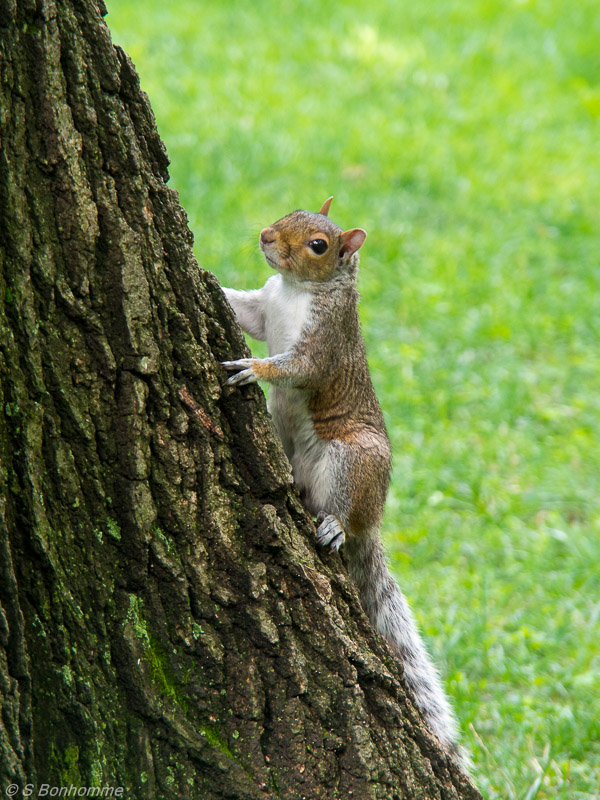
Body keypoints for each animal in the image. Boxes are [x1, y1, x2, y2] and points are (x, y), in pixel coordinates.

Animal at [223, 198, 462, 764]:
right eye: (291, 210)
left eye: (319, 246)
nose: (265, 236)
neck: (296, 290)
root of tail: (372, 517)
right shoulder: (263, 307)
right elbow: (243, 310)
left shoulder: (323, 343)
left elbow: (296, 366)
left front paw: (256, 368)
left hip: (353, 460)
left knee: (345, 514)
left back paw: (333, 524)